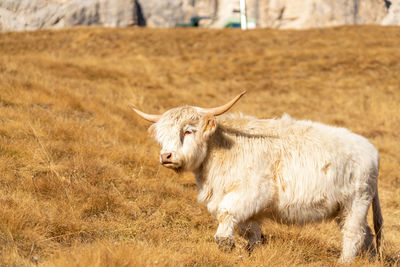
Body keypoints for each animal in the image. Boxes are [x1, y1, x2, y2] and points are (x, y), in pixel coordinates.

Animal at [130, 92, 382, 264]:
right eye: (162, 135)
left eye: (188, 130)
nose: (166, 156)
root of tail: (371, 150)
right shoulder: (251, 208)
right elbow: (249, 232)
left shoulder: (249, 193)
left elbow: (226, 214)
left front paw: (226, 244)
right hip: (344, 208)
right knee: (366, 234)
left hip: (356, 202)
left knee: (353, 234)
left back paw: (344, 262)